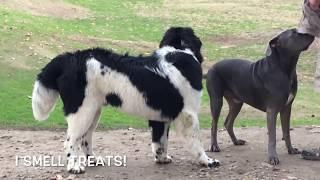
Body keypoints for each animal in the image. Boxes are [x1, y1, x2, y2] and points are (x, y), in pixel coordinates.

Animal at [31, 26, 219, 173]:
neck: (179, 49)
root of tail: (71, 58)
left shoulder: (160, 116)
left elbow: (160, 141)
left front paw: (162, 158)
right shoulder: (188, 114)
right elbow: (196, 141)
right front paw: (207, 161)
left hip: (93, 110)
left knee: (85, 138)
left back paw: (93, 160)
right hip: (81, 111)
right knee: (70, 141)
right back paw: (74, 167)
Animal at [206, 28, 314, 165]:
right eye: (294, 33)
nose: (312, 34)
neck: (284, 69)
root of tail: (211, 68)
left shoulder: (286, 108)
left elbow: (286, 131)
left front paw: (290, 149)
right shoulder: (272, 110)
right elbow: (272, 136)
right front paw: (273, 157)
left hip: (236, 103)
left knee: (228, 123)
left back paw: (236, 141)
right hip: (216, 100)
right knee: (214, 124)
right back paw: (214, 146)